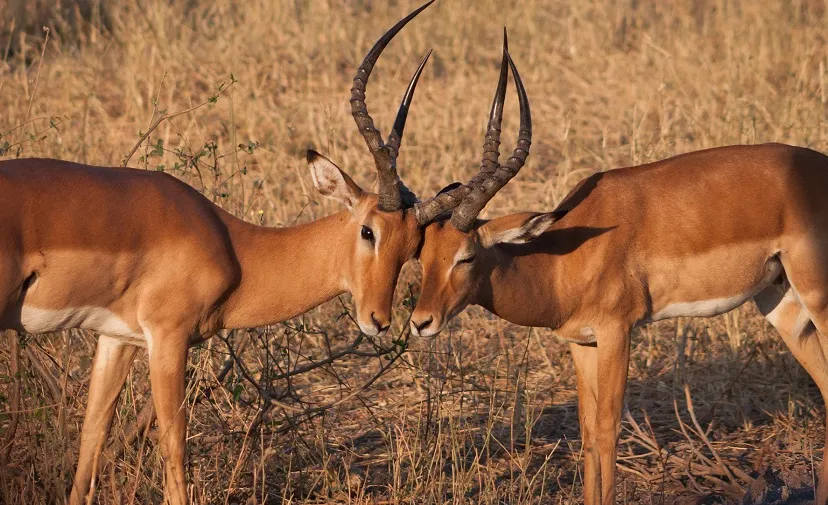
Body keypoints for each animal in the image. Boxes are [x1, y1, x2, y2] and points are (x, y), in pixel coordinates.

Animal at [0, 2, 471, 503]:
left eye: (413, 247)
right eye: (369, 231)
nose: (378, 320)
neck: (232, 245)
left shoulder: (116, 337)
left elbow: (91, 440)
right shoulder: (168, 337)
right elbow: (173, 442)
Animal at [409, 36, 828, 505]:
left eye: (465, 256)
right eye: (423, 255)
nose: (420, 322)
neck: (561, 261)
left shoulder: (616, 332)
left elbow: (608, 430)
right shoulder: (581, 342)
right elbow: (588, 432)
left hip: (818, 296)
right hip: (782, 306)